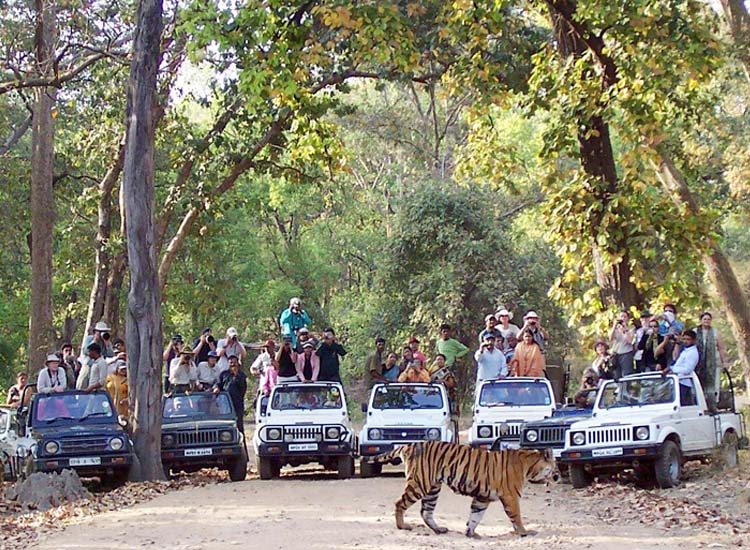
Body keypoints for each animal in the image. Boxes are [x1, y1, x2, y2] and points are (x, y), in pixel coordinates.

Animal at [368, 442, 560, 540]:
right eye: (555, 465)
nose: (558, 476)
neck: (529, 465)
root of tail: (409, 445)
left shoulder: (482, 498)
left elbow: (475, 516)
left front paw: (471, 533)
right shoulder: (511, 496)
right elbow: (517, 516)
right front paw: (524, 532)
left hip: (433, 488)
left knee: (426, 512)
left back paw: (439, 530)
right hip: (419, 483)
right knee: (400, 503)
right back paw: (402, 526)